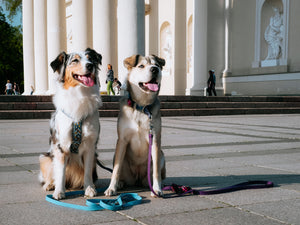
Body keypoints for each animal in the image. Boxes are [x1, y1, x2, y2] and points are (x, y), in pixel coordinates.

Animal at [39, 48, 102, 200]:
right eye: (75, 60)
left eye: (90, 58)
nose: (90, 65)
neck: (80, 94)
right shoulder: (61, 146)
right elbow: (60, 172)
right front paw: (59, 192)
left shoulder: (90, 146)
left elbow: (87, 172)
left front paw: (89, 188)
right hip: (45, 157)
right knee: (52, 174)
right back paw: (50, 185)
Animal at [105, 54, 166, 197]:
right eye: (141, 66)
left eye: (157, 65)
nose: (155, 69)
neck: (142, 107)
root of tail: (137, 179)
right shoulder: (122, 140)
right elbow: (116, 169)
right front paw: (111, 188)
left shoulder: (155, 139)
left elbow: (156, 172)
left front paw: (157, 189)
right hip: (119, 159)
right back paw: (120, 183)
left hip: (161, 156)